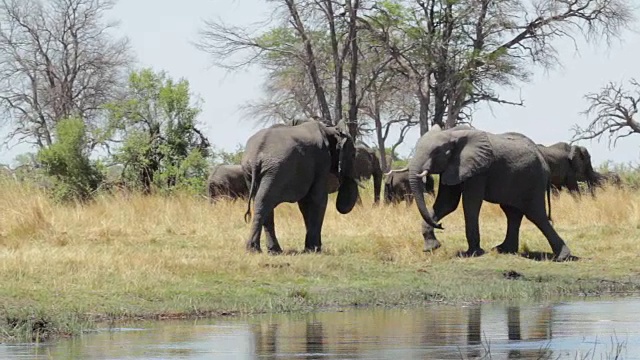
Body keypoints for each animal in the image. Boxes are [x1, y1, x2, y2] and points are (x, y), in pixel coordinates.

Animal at [241, 120, 360, 253]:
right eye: (353, 155)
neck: (330, 129)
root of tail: (256, 155)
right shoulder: (322, 161)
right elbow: (318, 199)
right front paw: (314, 249)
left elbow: (305, 203)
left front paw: (310, 248)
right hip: (276, 170)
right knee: (265, 201)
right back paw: (256, 250)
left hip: (252, 172)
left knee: (262, 202)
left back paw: (272, 251)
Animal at [410, 124, 576, 262]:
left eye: (437, 152)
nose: (440, 225)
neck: (451, 133)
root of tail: (543, 158)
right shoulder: (453, 168)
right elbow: (447, 203)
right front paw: (431, 248)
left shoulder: (478, 170)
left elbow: (470, 203)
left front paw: (473, 253)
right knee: (512, 212)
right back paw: (503, 250)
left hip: (534, 180)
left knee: (536, 214)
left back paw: (563, 257)